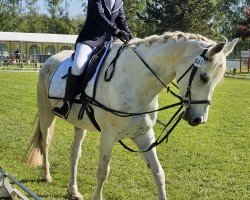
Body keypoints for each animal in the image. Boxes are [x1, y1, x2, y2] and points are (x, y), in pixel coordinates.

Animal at [25, 32, 238, 199]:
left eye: (218, 81)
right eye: (204, 77)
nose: (198, 119)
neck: (137, 83)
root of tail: (50, 59)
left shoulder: (144, 135)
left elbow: (158, 172)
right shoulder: (108, 135)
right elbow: (103, 171)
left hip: (80, 124)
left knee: (74, 154)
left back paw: (73, 191)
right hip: (46, 114)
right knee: (45, 142)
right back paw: (47, 176)